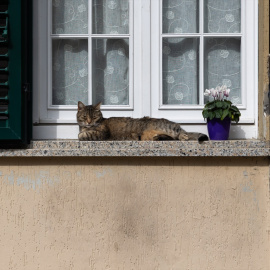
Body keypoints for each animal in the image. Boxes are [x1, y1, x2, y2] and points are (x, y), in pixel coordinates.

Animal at [77, 101, 208, 142]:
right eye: (84, 116)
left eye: (94, 117)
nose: (89, 122)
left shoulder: (102, 133)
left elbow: (84, 135)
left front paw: (82, 134)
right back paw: (158, 138)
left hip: (169, 128)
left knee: (181, 133)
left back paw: (183, 137)